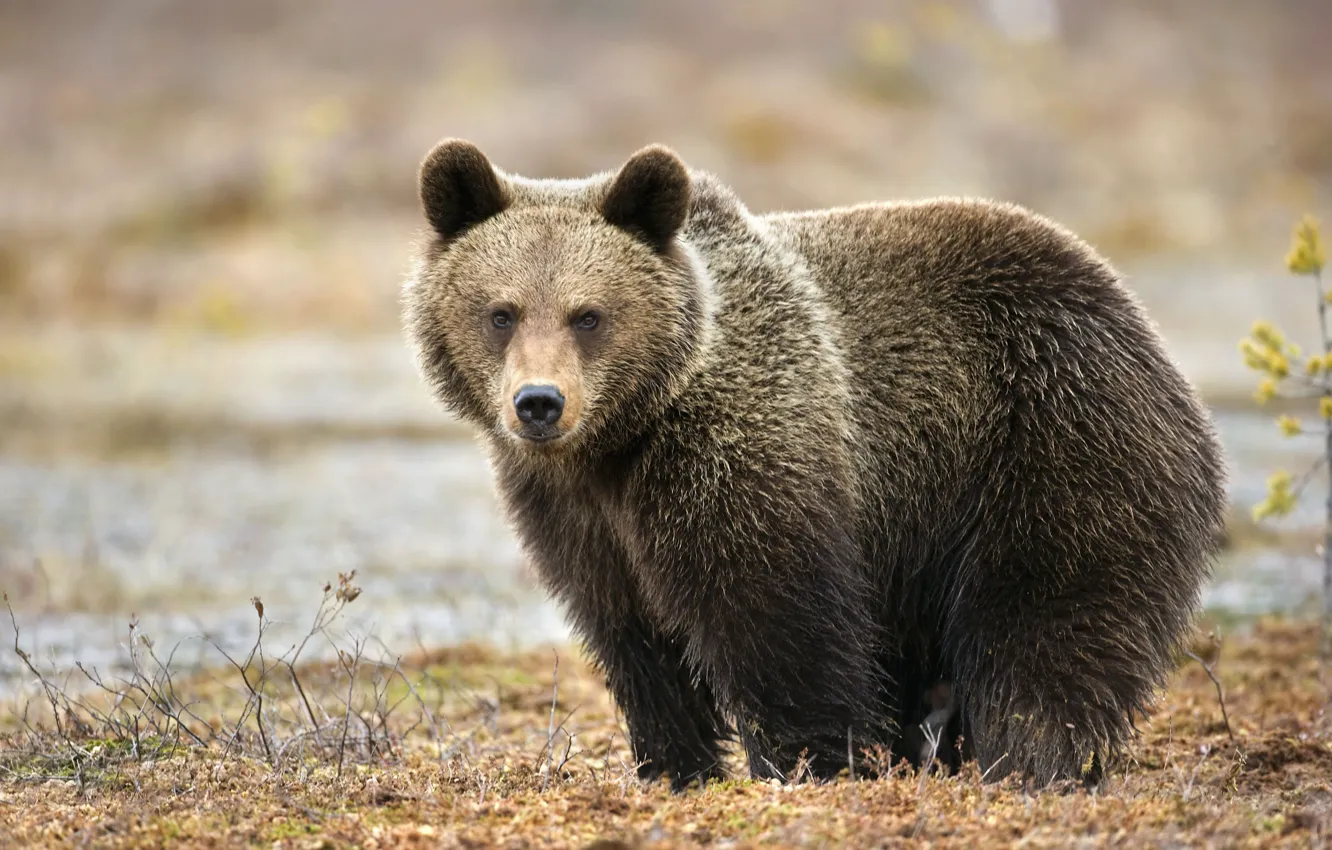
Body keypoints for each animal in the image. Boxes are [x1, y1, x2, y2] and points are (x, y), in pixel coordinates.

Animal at [401, 139, 1228, 791]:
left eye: (589, 315)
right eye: (501, 312)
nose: (539, 403)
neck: (621, 441)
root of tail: (1136, 319)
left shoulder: (744, 449)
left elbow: (778, 619)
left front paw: (811, 765)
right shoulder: (577, 515)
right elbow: (635, 640)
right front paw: (675, 767)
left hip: (1050, 440)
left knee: (1048, 623)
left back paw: (1029, 760)